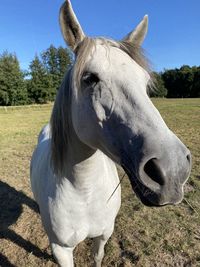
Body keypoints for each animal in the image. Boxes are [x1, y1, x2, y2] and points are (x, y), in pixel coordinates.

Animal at [30, 1, 191, 266]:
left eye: (145, 81)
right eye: (89, 78)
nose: (173, 169)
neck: (84, 191)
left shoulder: (104, 234)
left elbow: (97, 257)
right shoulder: (61, 249)